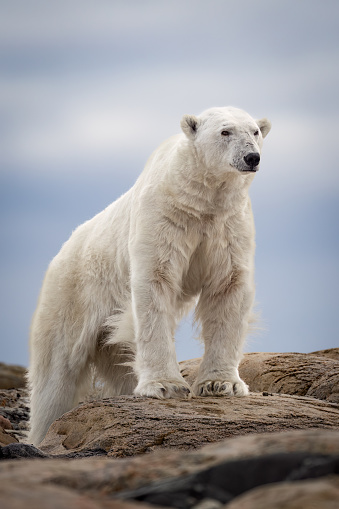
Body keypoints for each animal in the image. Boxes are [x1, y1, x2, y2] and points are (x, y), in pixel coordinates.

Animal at [28, 107, 270, 444]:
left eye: (255, 132)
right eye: (225, 131)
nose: (251, 157)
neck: (201, 198)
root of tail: (60, 254)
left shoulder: (229, 227)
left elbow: (228, 288)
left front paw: (222, 384)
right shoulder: (164, 217)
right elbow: (155, 283)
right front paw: (165, 385)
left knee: (117, 358)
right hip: (71, 295)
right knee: (55, 378)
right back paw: (41, 435)